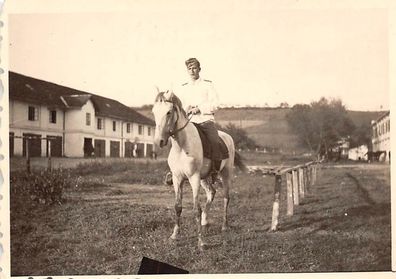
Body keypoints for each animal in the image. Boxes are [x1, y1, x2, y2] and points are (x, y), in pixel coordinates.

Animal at [152, 91, 243, 248]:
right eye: (153, 112)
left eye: (169, 112)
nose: (159, 141)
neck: (181, 146)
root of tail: (228, 137)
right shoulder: (177, 179)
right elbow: (178, 207)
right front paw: (174, 235)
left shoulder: (193, 178)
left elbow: (196, 209)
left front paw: (201, 242)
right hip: (204, 178)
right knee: (211, 192)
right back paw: (205, 222)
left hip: (226, 174)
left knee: (226, 197)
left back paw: (224, 226)